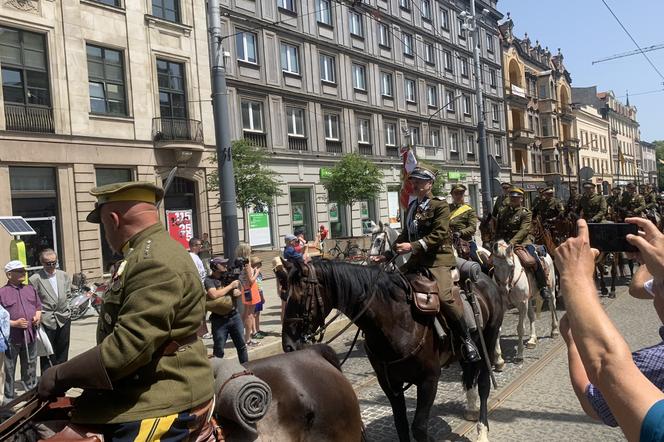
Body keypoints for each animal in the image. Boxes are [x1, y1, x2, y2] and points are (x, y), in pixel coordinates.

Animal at [280, 258, 504, 442]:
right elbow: (401, 425)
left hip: (489, 341)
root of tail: (485, 277)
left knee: (484, 383)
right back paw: (471, 409)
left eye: (298, 297)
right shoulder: (389, 383)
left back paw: (482, 431)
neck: (396, 320)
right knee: (469, 373)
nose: (288, 345)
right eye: (283, 296)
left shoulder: (429, 379)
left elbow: (419, 428)